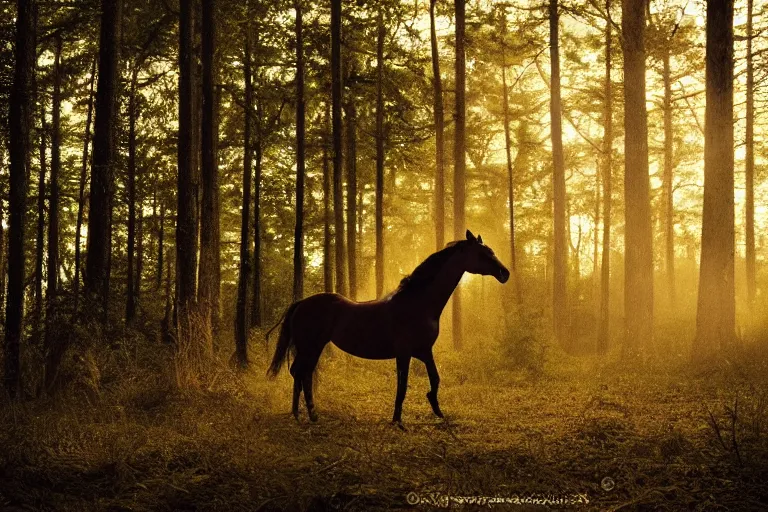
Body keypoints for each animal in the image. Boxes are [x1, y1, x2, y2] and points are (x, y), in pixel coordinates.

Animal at [266, 229, 510, 428]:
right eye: (483, 254)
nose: (505, 273)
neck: (419, 303)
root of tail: (301, 303)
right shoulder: (404, 353)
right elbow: (402, 385)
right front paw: (397, 420)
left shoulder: (424, 351)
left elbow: (435, 379)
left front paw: (436, 409)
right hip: (312, 347)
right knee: (303, 373)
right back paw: (308, 415)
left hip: (309, 347)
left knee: (300, 373)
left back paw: (302, 415)